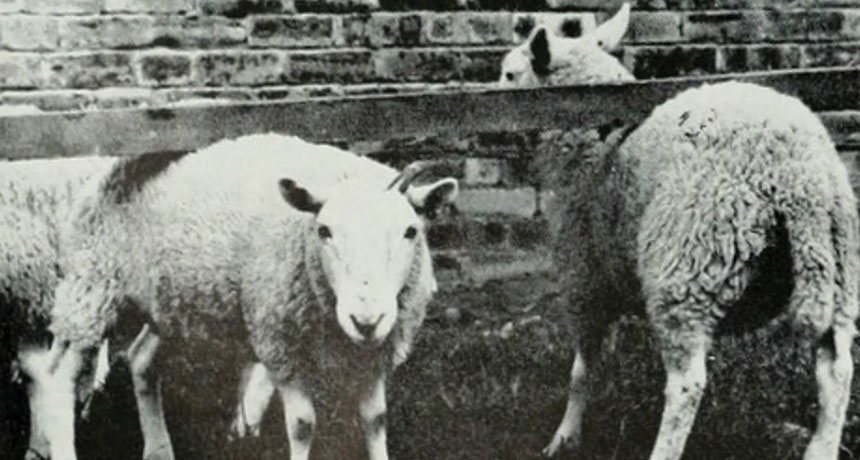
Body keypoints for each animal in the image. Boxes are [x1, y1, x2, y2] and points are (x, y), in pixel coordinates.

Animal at [45, 133, 459, 460]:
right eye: (324, 230)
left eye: (410, 231)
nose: (366, 319)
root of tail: (112, 168)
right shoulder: (280, 344)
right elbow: (303, 424)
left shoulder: (376, 353)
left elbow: (375, 420)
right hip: (92, 288)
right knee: (59, 376)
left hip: (167, 303)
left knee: (142, 360)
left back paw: (159, 450)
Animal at [498, 5, 859, 460]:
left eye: (510, 74)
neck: (601, 139)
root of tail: (796, 176)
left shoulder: (584, 276)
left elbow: (582, 367)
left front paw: (565, 436)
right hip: (836, 268)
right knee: (836, 371)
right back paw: (821, 446)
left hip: (689, 267)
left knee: (688, 384)